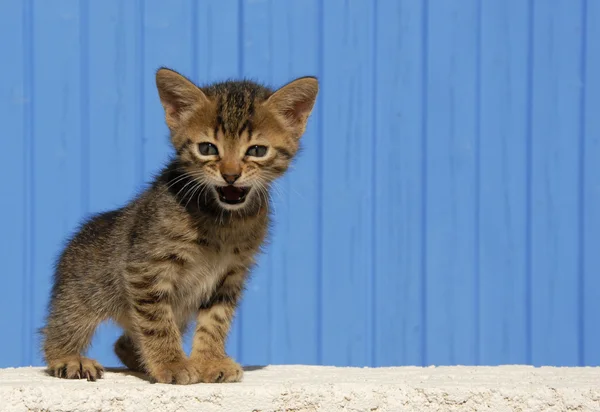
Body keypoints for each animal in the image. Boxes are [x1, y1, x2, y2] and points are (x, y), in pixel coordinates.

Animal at [39, 66, 318, 384]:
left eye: (257, 151)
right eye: (207, 148)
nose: (231, 175)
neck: (224, 220)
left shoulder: (231, 275)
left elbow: (215, 321)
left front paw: (209, 361)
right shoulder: (146, 269)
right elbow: (157, 323)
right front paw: (171, 364)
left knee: (123, 343)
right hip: (82, 295)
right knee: (60, 328)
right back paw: (69, 358)